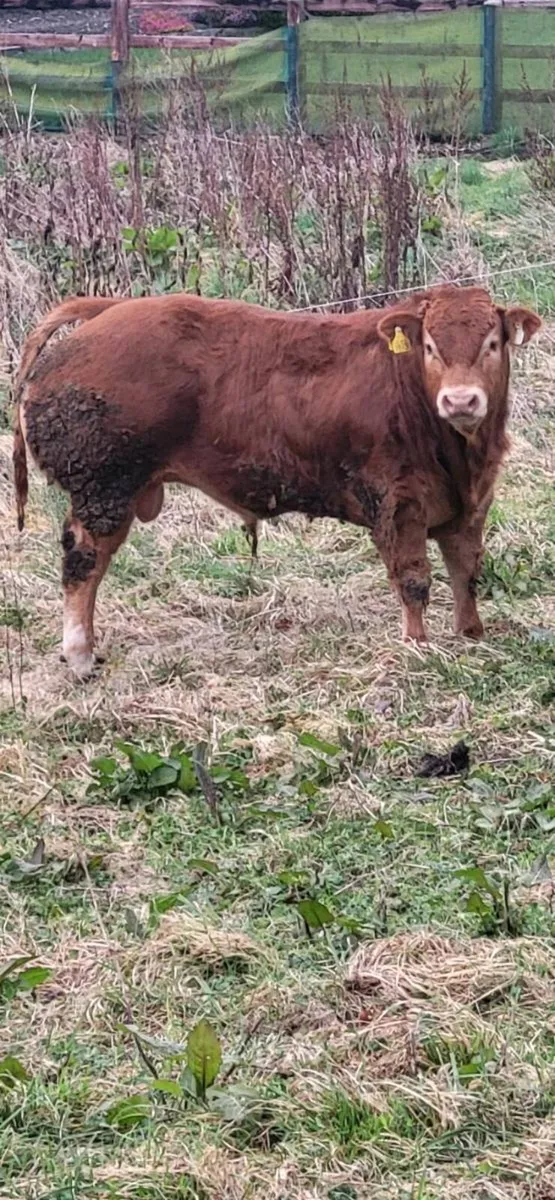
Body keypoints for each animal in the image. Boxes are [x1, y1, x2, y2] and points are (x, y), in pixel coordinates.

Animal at [12, 285, 540, 679]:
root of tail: (106, 309)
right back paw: (80, 656)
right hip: (105, 487)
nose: (461, 401)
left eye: (492, 344)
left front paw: (471, 635)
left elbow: (466, 571)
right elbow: (413, 581)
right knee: (83, 563)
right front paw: (417, 647)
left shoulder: (472, 504)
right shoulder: (398, 502)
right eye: (430, 347)